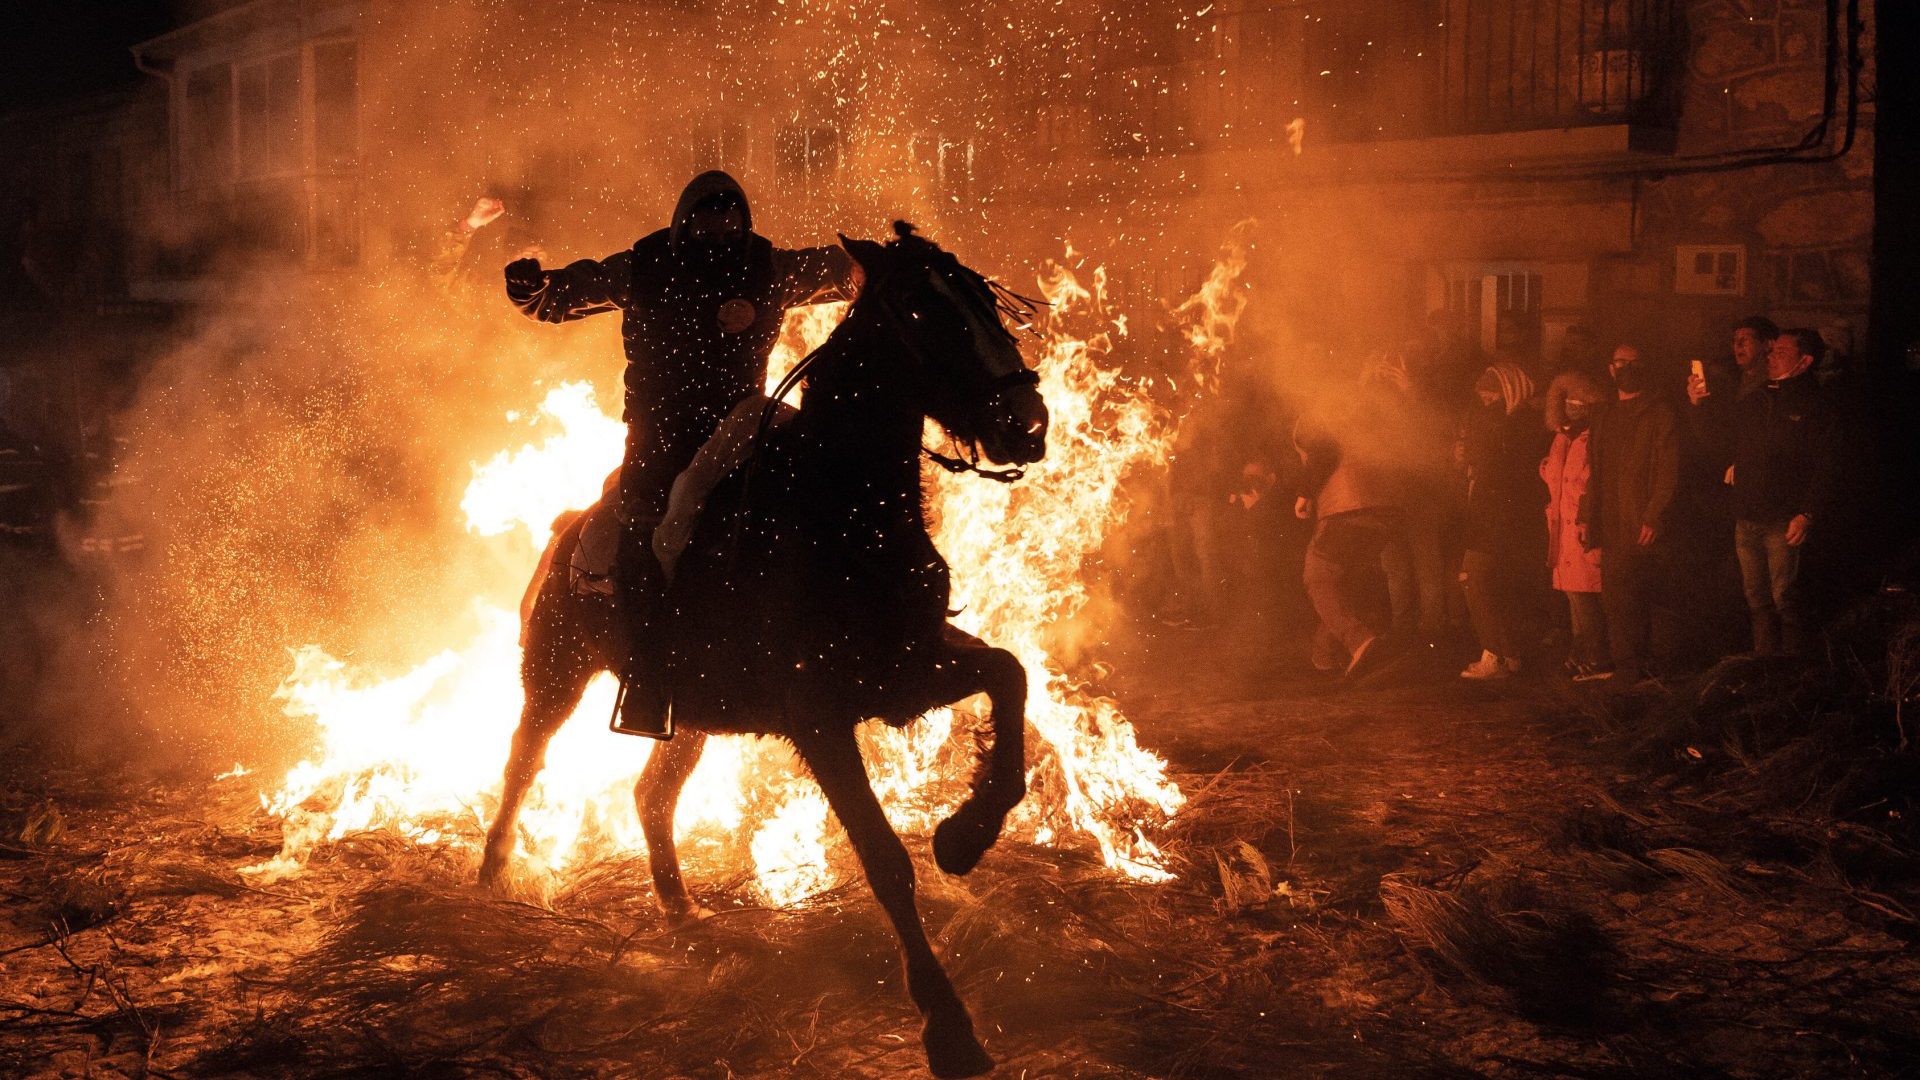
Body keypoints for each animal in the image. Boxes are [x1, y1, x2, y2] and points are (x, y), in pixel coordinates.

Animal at [478, 220, 1052, 1076]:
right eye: (921, 311)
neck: (838, 516)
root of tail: (570, 528)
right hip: (557, 676)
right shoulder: (819, 717)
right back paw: (491, 875)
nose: (1027, 420)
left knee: (651, 794)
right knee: (523, 760)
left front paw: (964, 836)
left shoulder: (908, 672)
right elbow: (884, 858)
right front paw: (948, 1026)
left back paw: (681, 909)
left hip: (687, 714)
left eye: (983, 300)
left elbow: (1010, 677)